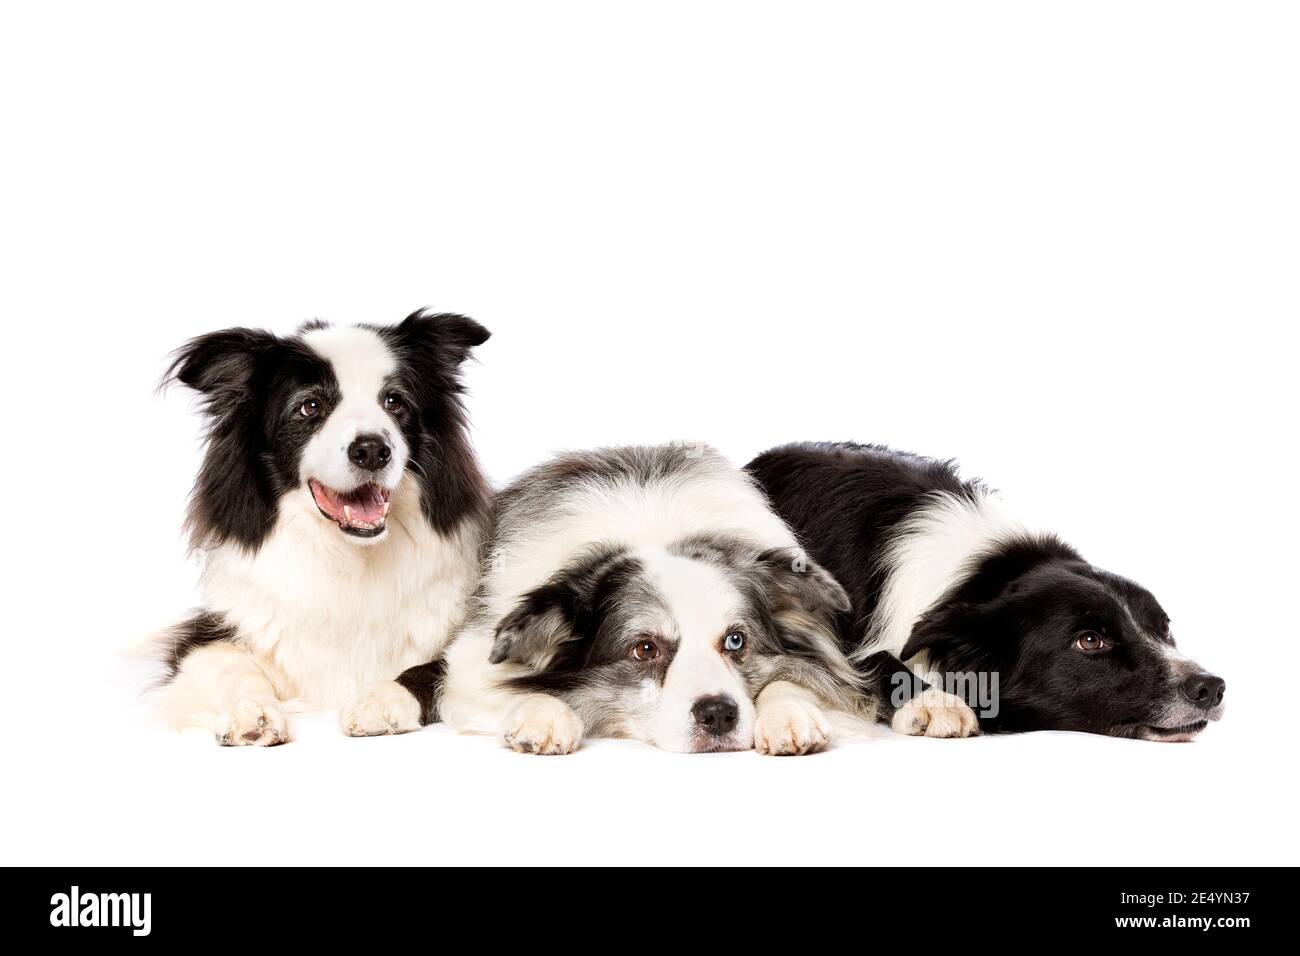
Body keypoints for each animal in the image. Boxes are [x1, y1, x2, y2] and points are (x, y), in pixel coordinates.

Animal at [158, 310, 491, 743]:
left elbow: (433, 668)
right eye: (310, 406)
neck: (348, 558)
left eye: (394, 401)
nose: (372, 450)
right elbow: (231, 666)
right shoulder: (203, 636)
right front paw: (251, 711)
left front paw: (380, 699)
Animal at [366, 447, 868, 754]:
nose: (719, 715)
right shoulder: (476, 653)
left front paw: (789, 714)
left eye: (736, 641)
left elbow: (799, 679)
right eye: (644, 649)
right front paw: (543, 715)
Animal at [748, 444, 1222, 743]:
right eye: (1090, 640)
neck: (984, 572)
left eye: (1163, 627)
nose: (1211, 687)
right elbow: (874, 659)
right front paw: (935, 700)